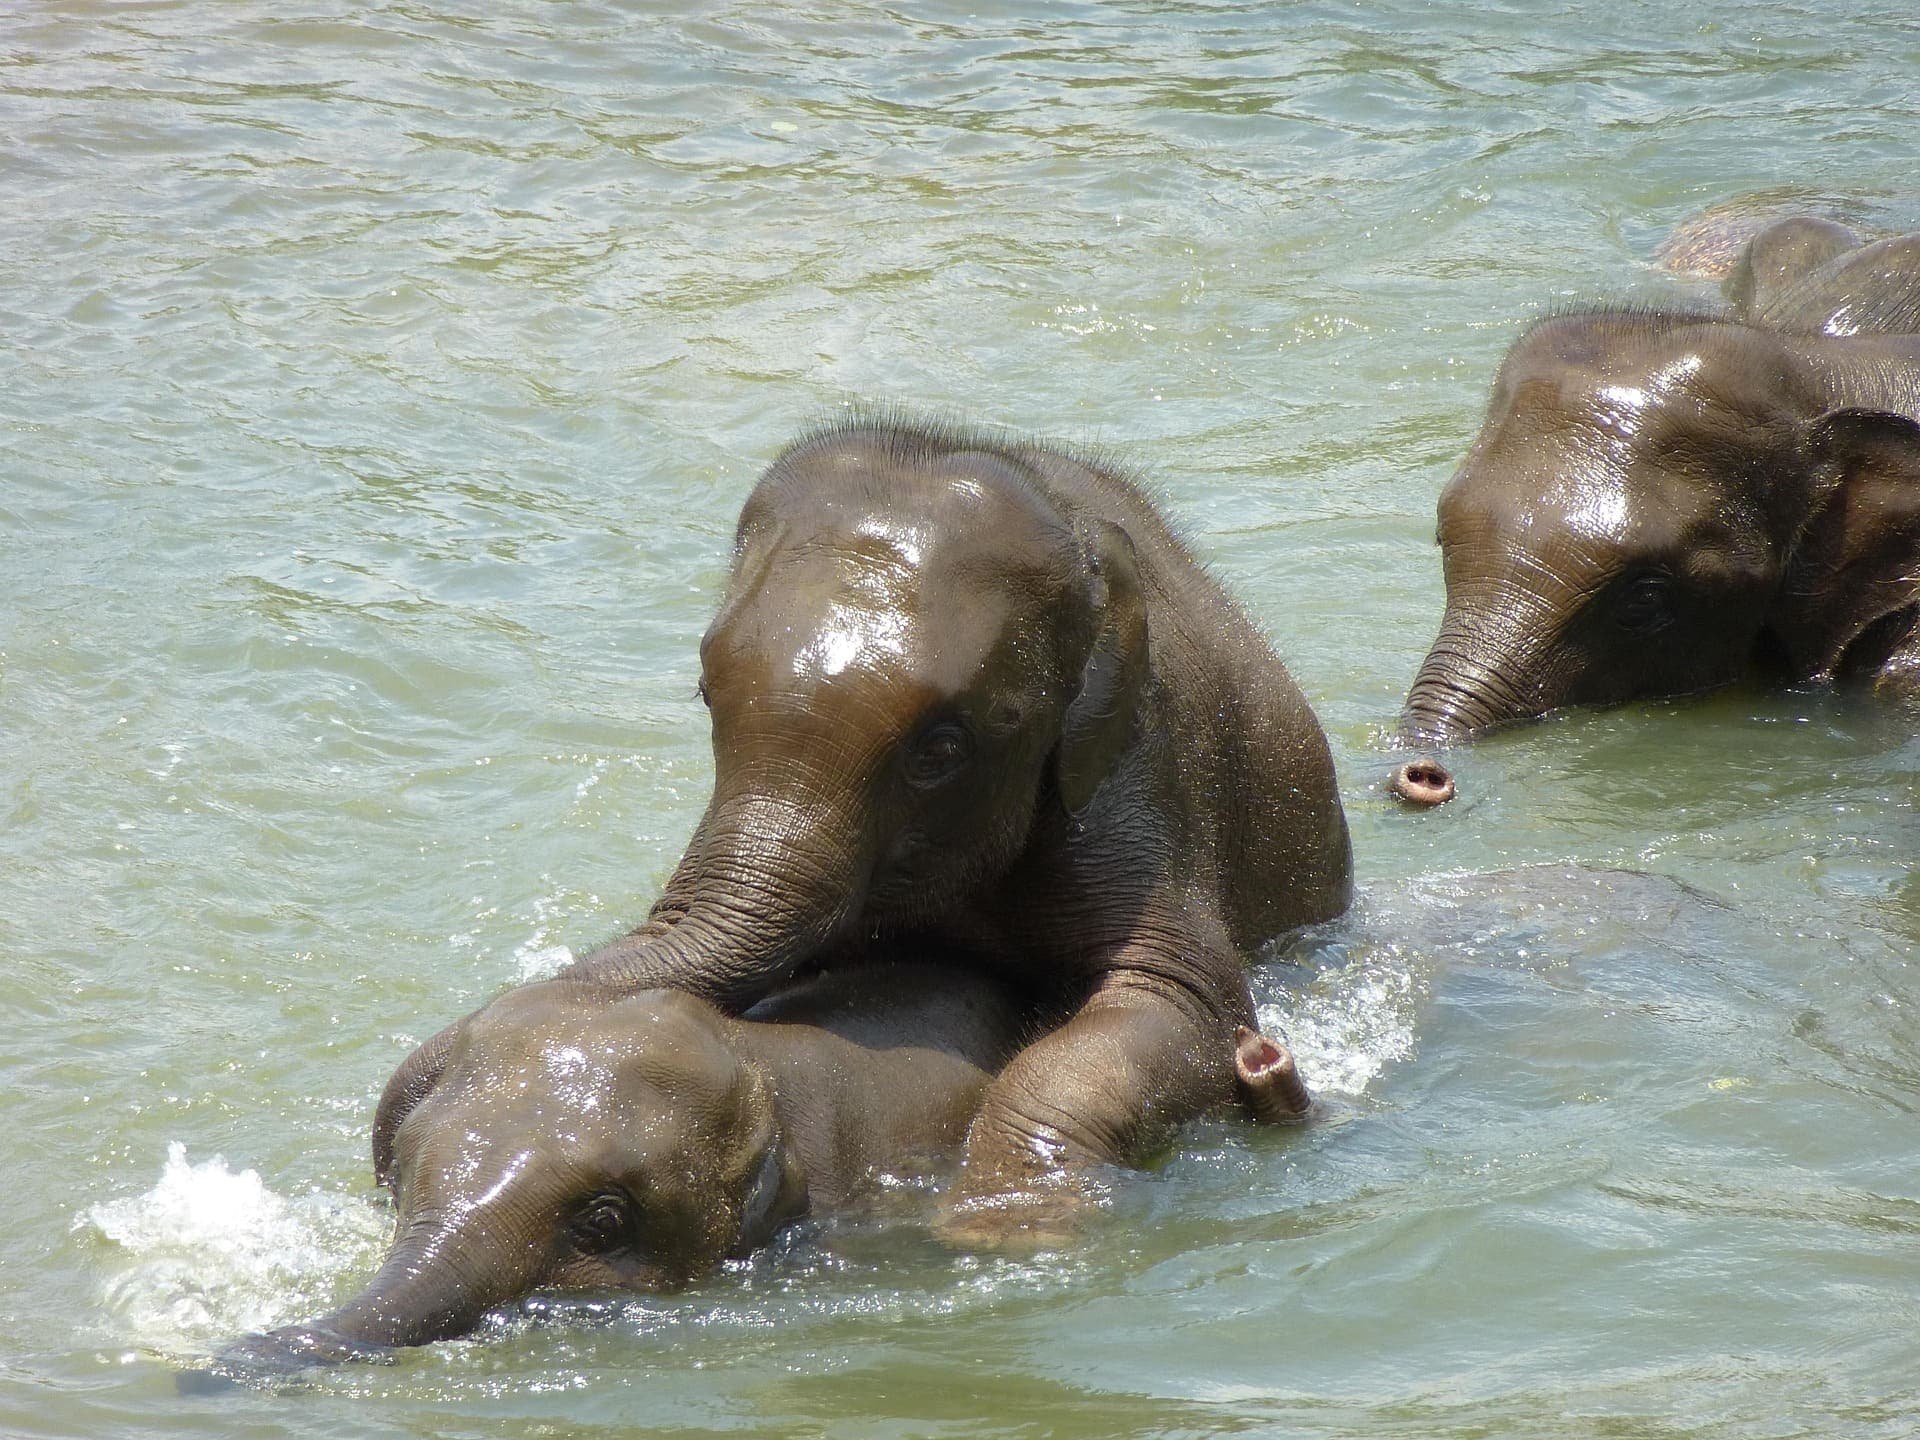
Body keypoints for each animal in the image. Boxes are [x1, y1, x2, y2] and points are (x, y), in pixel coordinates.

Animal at [378, 418, 1352, 1240]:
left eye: (942, 747)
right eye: (705, 695)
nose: (401, 1141)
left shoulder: (1139, 779)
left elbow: (1177, 1006)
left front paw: (1000, 1225)